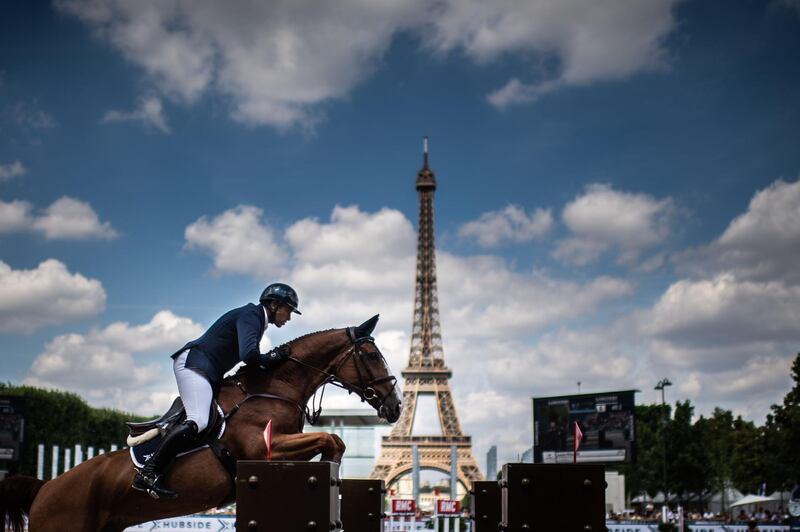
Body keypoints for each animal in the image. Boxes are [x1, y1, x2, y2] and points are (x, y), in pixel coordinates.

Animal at [0, 316, 400, 532]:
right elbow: (331, 439)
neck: (274, 388)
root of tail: (44, 488)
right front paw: (328, 472)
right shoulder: (263, 448)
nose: (395, 406)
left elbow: (332, 440)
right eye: (371, 355)